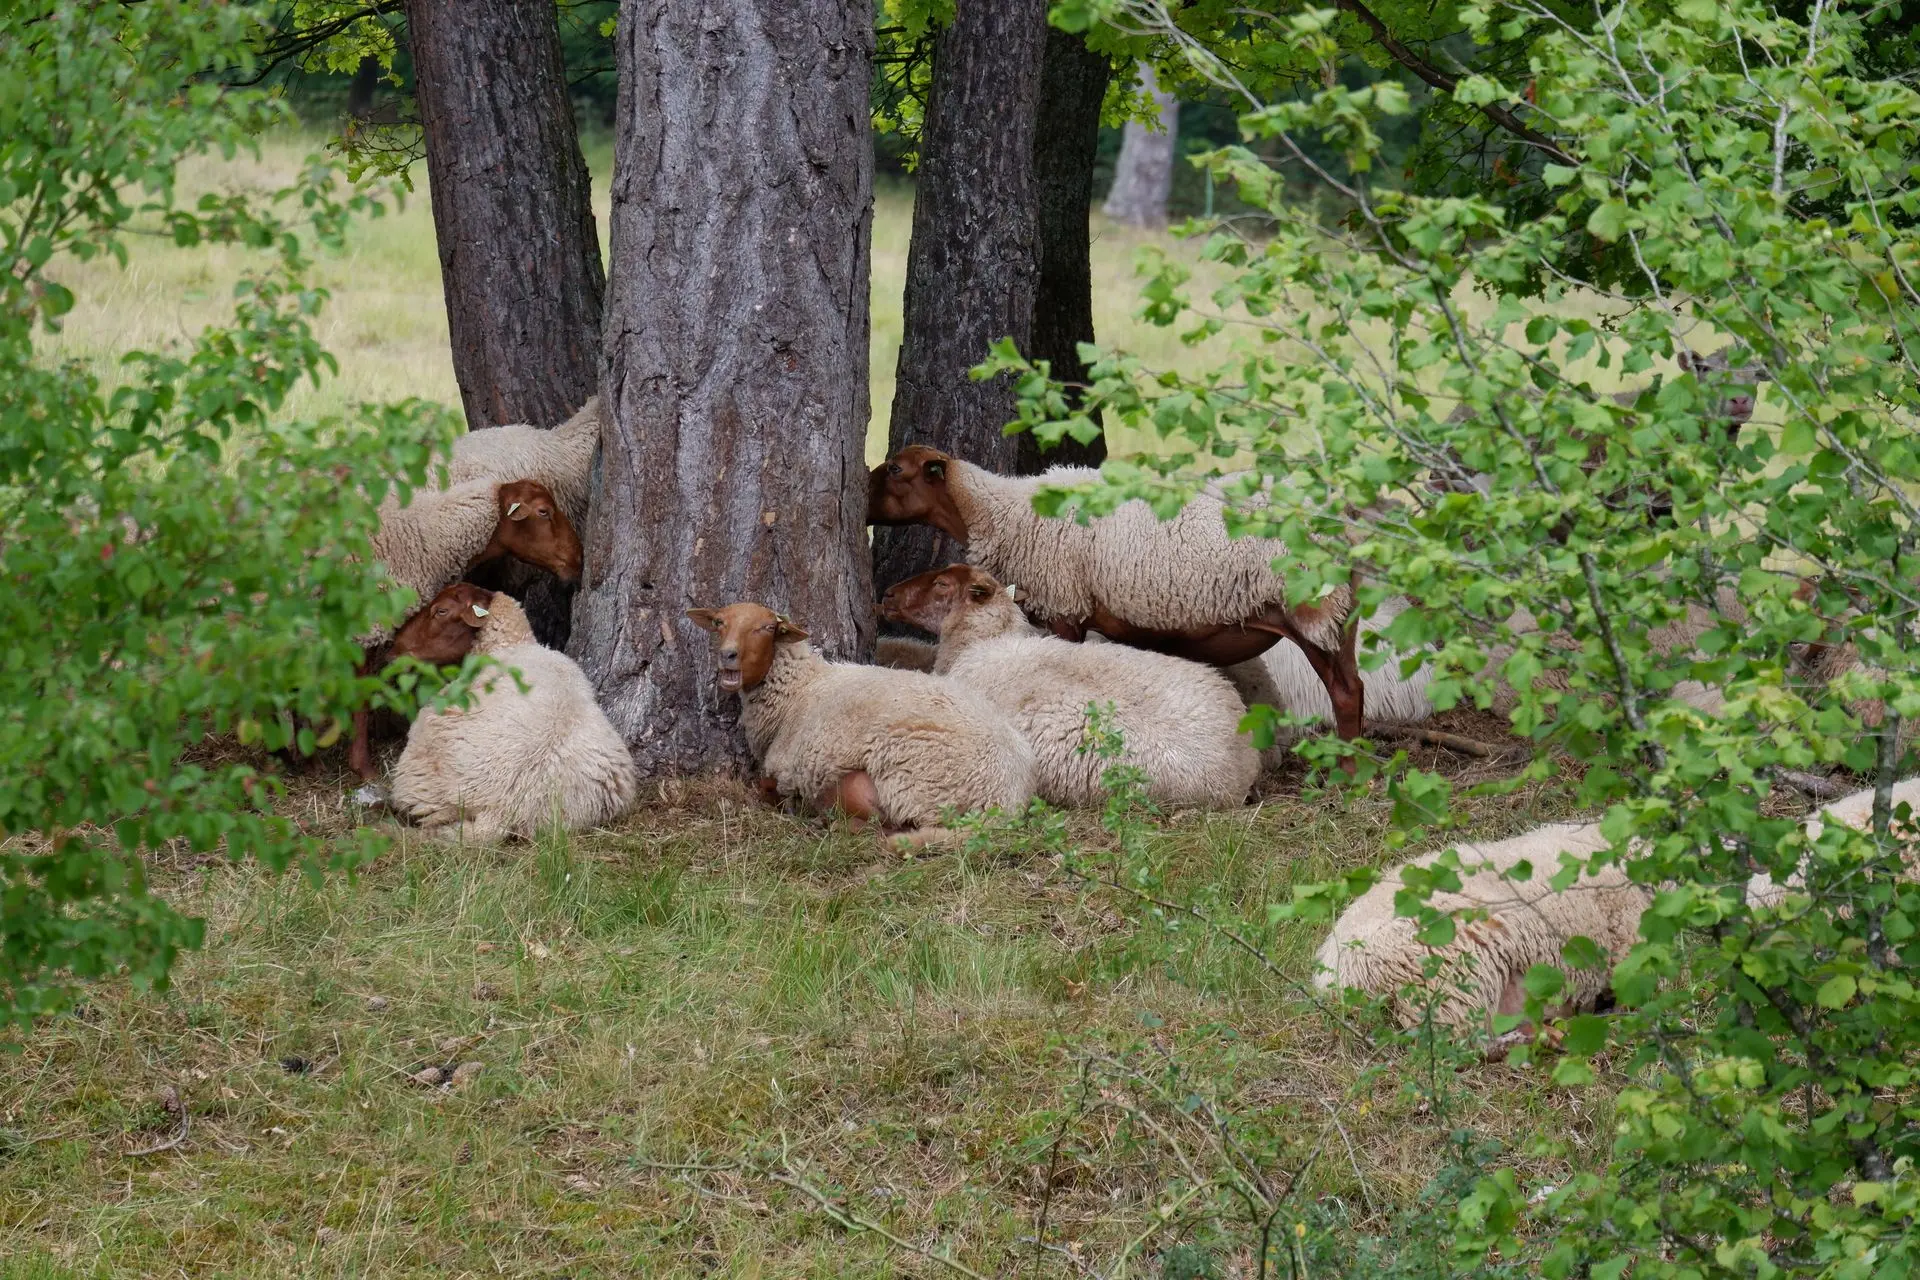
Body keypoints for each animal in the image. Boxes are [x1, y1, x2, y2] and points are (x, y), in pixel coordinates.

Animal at [685, 602, 1035, 834]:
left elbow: (767, 787)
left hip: (908, 784)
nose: (727, 656)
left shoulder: (786, 770)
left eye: (767, 628)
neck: (801, 689)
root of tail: (1005, 798)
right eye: (719, 622)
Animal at [868, 446, 1365, 738]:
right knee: (1355, 685)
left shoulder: (1065, 607)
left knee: (1345, 692)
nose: (858, 495)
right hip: (1342, 615)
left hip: (1312, 612)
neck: (999, 511)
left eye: (894, 469)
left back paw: (1344, 773)